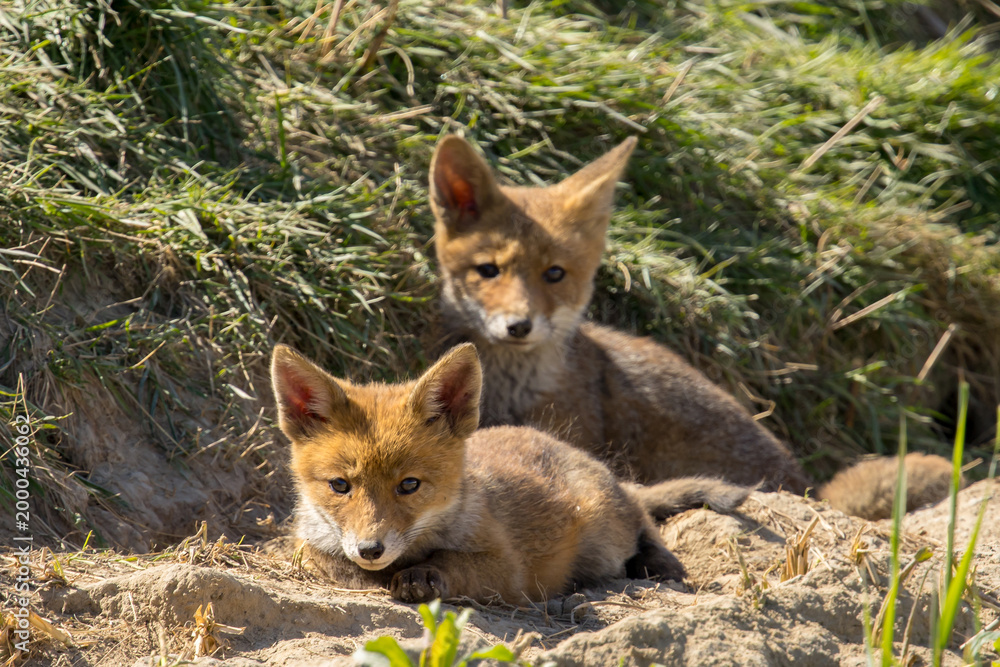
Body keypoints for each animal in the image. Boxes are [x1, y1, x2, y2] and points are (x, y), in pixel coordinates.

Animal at [270, 342, 750, 604]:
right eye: (340, 485)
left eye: (409, 485)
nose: (371, 548)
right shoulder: (306, 546)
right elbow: (331, 563)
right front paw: (379, 573)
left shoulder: (508, 567)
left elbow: (452, 562)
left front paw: (421, 575)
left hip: (607, 531)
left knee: (643, 516)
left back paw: (660, 562)